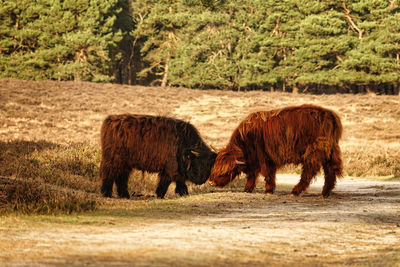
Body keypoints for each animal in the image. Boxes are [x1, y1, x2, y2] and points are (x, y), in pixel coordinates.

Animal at [208, 105, 342, 198]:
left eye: (224, 171)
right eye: (214, 167)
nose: (210, 182)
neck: (247, 139)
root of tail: (329, 114)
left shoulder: (264, 158)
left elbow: (267, 174)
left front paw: (268, 191)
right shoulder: (255, 161)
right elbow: (252, 176)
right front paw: (247, 190)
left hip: (313, 153)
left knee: (309, 172)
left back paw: (295, 192)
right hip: (330, 152)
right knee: (330, 171)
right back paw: (324, 193)